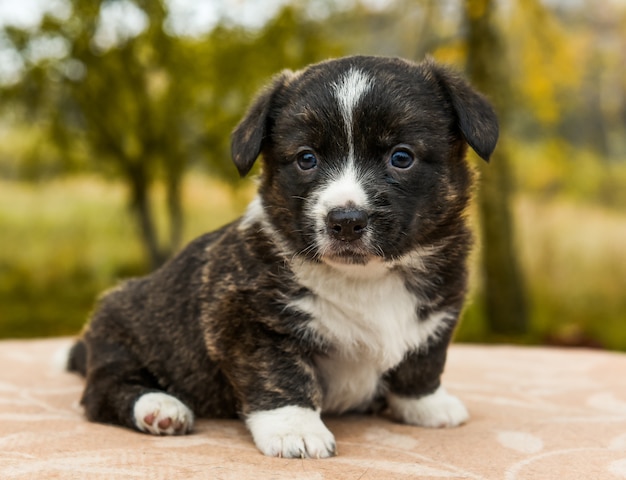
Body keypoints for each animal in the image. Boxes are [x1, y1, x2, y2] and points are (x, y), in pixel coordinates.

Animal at [68, 54, 498, 460]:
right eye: (306, 159)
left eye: (402, 157)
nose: (345, 221)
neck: (367, 278)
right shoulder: (250, 321)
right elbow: (281, 375)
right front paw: (296, 431)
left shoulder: (441, 312)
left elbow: (423, 361)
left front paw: (427, 405)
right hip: (119, 337)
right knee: (104, 391)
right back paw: (160, 408)